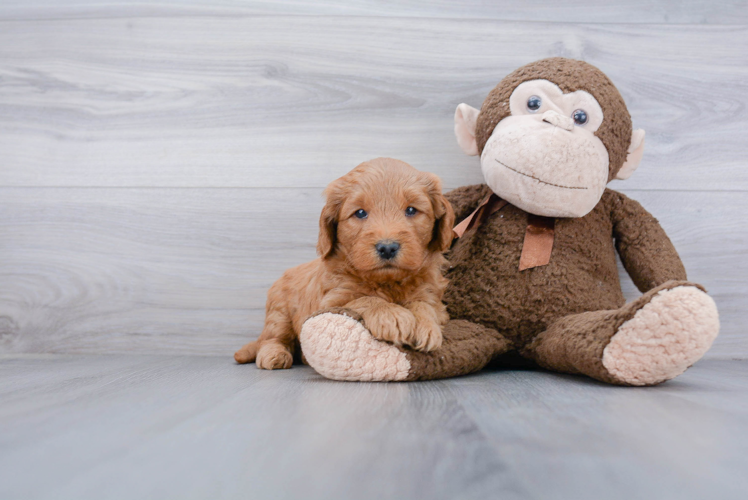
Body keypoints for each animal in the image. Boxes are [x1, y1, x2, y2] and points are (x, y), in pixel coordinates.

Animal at [234, 158, 456, 370]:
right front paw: (392, 315)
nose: (387, 247)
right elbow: (364, 298)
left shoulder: (433, 298)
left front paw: (424, 324)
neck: (388, 282)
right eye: (360, 213)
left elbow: (423, 304)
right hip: (279, 312)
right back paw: (274, 355)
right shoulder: (332, 301)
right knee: (272, 338)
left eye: (411, 210)